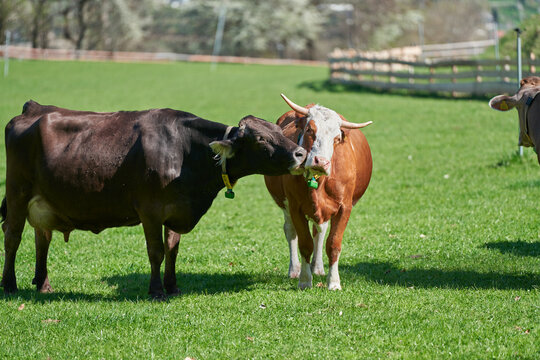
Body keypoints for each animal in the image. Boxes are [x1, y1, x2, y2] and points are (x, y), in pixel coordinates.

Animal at [0, 101, 306, 298]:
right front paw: (157, 290)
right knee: (13, 237)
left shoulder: (176, 209)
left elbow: (172, 249)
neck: (185, 151)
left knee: (42, 238)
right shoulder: (150, 210)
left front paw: (172, 286)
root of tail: (35, 108)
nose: (300, 153)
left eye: (279, 132)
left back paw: (43, 284)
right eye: (261, 139)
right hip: (17, 192)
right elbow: (156, 251)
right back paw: (10, 284)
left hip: (44, 201)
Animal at [264, 95, 372, 290]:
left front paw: (334, 282)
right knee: (290, 231)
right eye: (309, 130)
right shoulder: (295, 207)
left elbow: (333, 244)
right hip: (285, 205)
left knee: (320, 231)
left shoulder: (344, 208)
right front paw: (305, 280)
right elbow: (304, 243)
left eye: (337, 138)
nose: (321, 161)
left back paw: (318, 267)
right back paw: (294, 269)